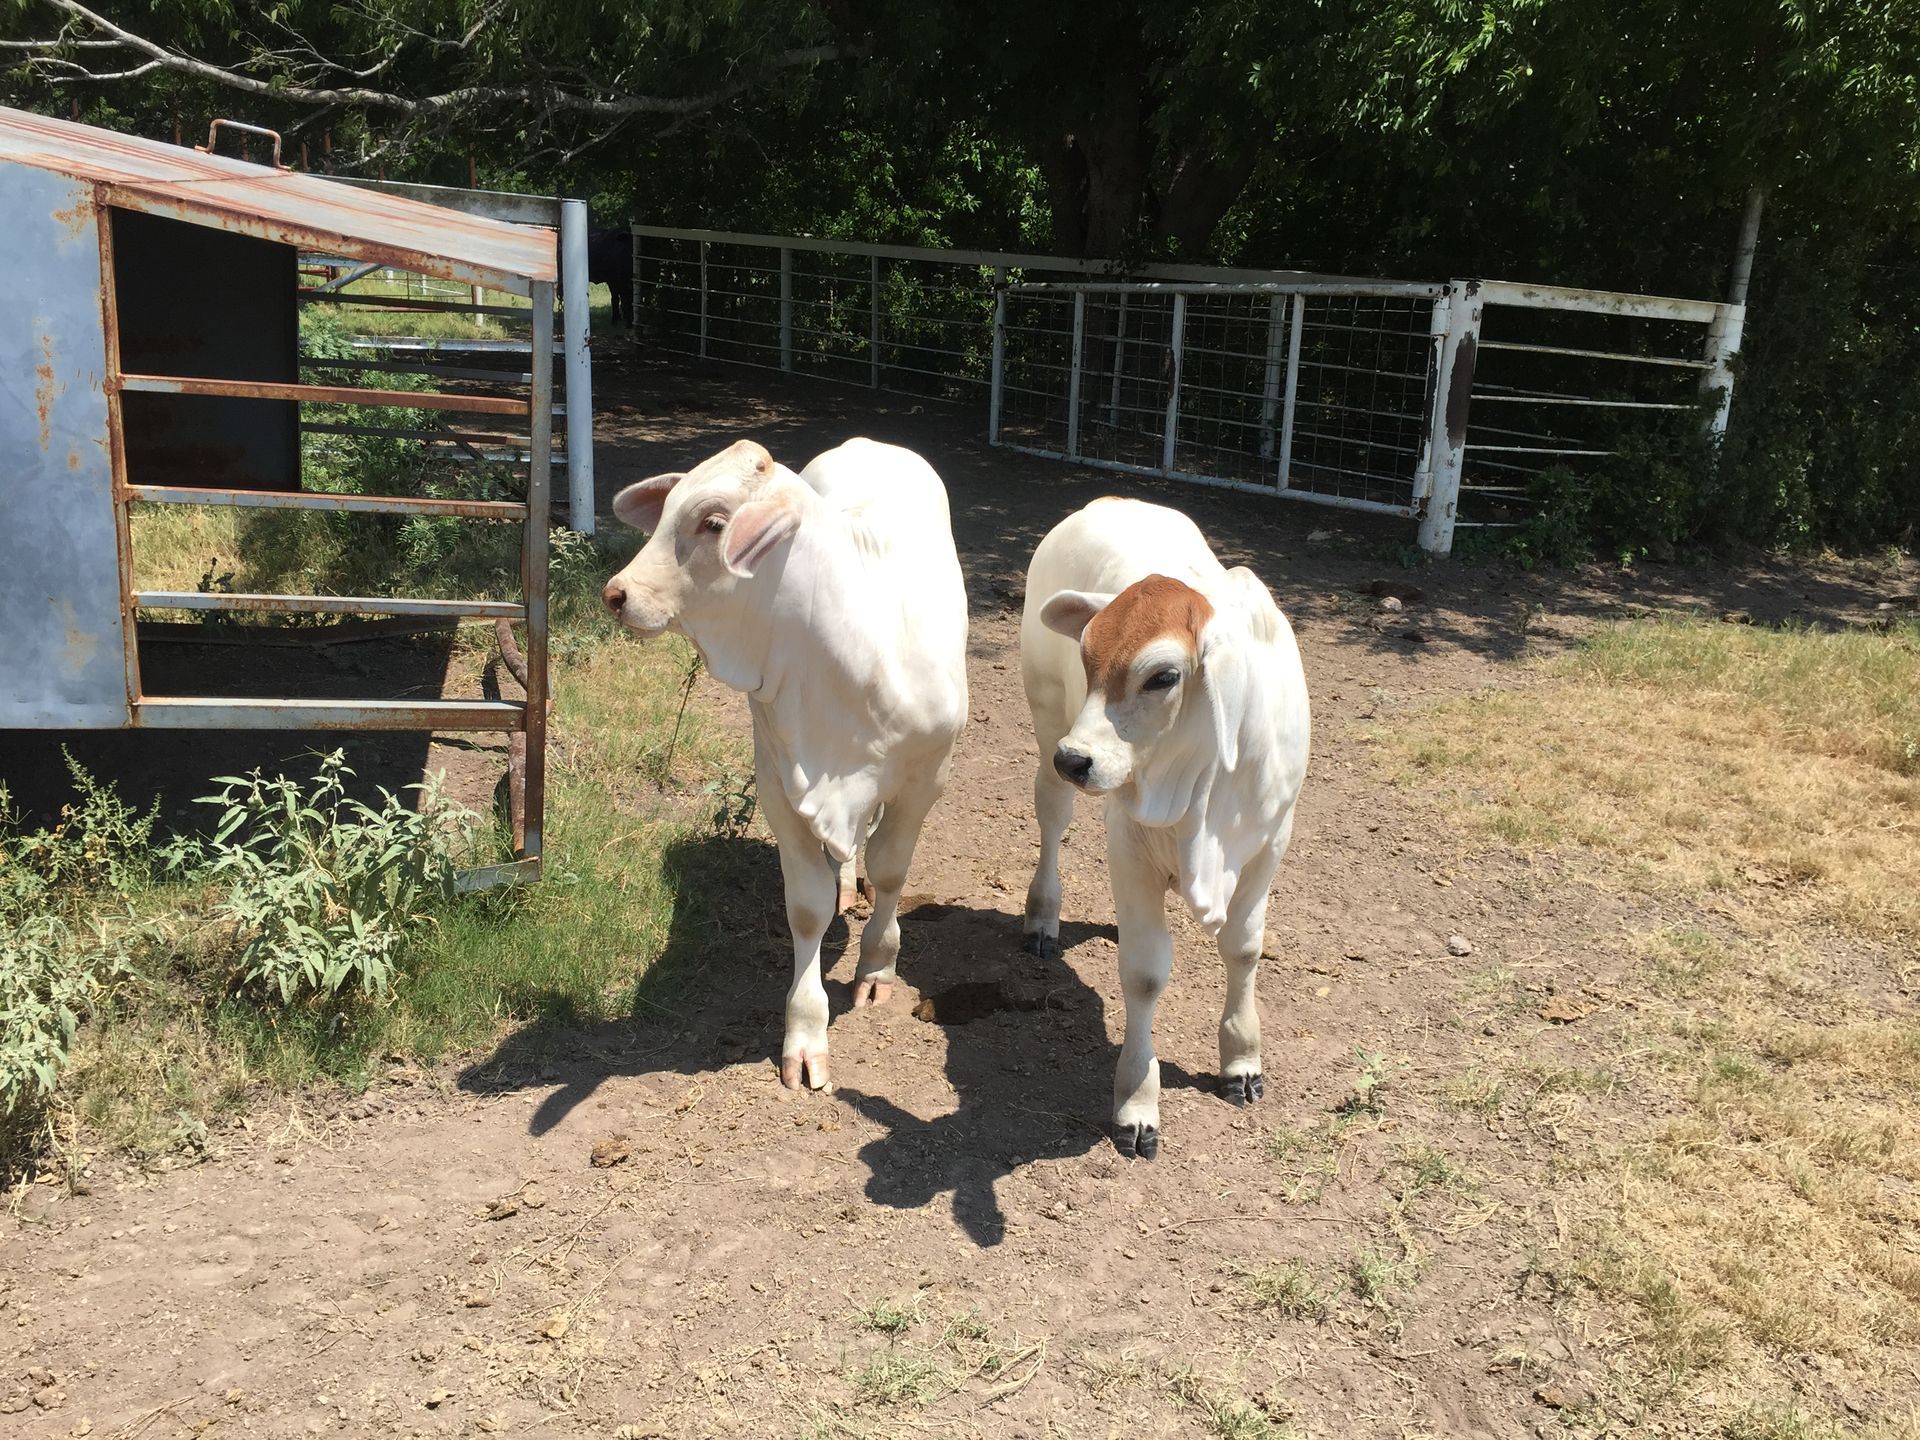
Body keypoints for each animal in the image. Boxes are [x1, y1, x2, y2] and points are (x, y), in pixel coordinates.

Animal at [602, 438, 969, 1089]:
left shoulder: (926, 777)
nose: (617, 594)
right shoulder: (780, 783)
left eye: (713, 522)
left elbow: (892, 870)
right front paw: (804, 1033)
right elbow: (807, 907)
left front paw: (878, 965)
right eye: (666, 508)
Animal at [1019, 497, 1310, 1159]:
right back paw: (1043, 916)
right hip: (1047, 723)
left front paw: (1241, 1060)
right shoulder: (1129, 843)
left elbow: (1244, 947)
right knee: (1052, 821)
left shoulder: (1271, 844)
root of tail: (1108, 502)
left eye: (1162, 677)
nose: (1077, 759)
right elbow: (1146, 972)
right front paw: (1137, 1104)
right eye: (1087, 658)